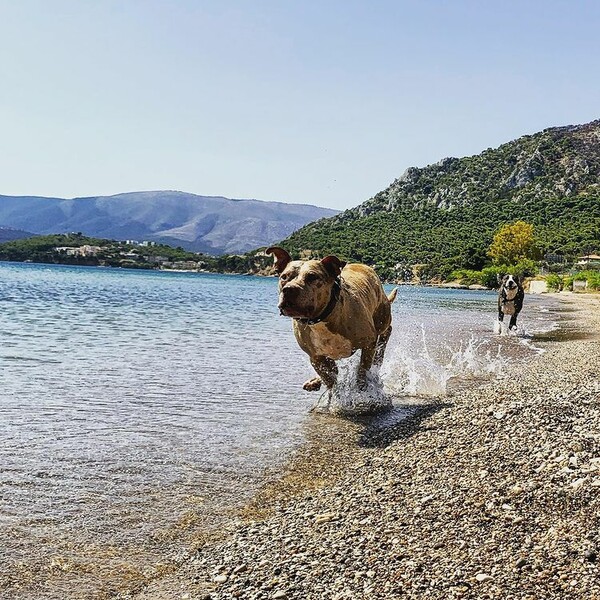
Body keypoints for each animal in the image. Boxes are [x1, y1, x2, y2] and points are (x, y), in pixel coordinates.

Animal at [268, 246, 398, 392]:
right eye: (284, 277)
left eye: (312, 277)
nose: (289, 289)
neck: (320, 319)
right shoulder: (316, 357)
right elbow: (329, 378)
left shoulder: (369, 342)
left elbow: (363, 368)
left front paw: (362, 386)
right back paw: (315, 381)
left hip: (382, 318)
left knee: (386, 332)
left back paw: (378, 357)